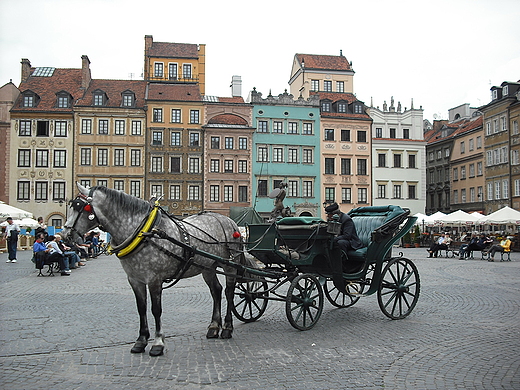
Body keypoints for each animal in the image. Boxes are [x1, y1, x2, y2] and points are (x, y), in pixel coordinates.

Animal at [61, 183, 248, 356]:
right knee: (216, 291)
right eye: (71, 206)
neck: (144, 232)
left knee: (229, 292)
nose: (65, 236)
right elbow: (141, 308)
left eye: (81, 208)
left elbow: (156, 310)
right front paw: (141, 340)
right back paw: (214, 327)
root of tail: (229, 221)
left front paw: (158, 343)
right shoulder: (135, 280)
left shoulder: (154, 280)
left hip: (230, 265)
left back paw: (227, 328)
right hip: (208, 267)